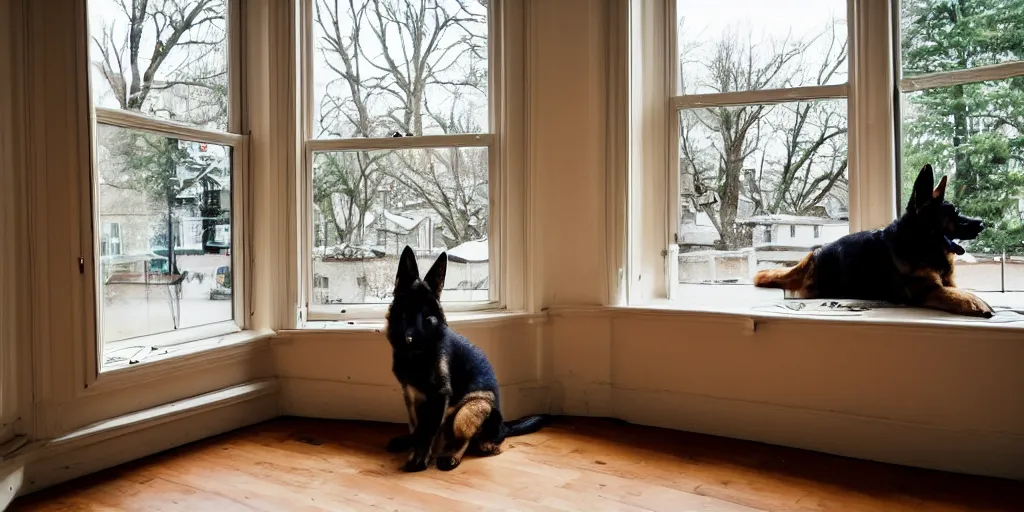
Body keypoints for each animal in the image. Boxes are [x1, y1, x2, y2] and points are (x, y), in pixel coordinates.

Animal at [382, 245, 548, 468]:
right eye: (407, 313)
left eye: (429, 317)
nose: (412, 340)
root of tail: (504, 426)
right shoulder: (410, 396)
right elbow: (417, 429)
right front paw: (414, 451)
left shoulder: (440, 396)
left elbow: (428, 432)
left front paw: (419, 460)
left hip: (471, 408)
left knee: (469, 439)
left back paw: (457, 455)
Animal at [753, 163, 991, 317]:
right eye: (954, 213)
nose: (982, 223)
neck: (919, 239)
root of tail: (813, 257)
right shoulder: (924, 289)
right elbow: (952, 294)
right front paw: (974, 302)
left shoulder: (946, 281)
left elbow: (955, 289)